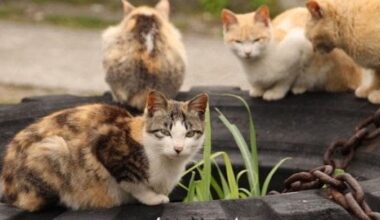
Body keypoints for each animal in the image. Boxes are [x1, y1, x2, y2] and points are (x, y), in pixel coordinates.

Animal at [0, 90, 208, 211]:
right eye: (165, 132)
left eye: (190, 133)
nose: (178, 148)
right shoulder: (105, 144)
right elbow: (132, 182)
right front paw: (153, 198)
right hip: (54, 148)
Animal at [223, 6, 368, 100]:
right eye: (238, 41)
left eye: (257, 40)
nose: (248, 52)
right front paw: (258, 89)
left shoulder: (302, 47)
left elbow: (287, 78)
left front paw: (275, 92)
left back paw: (301, 87)